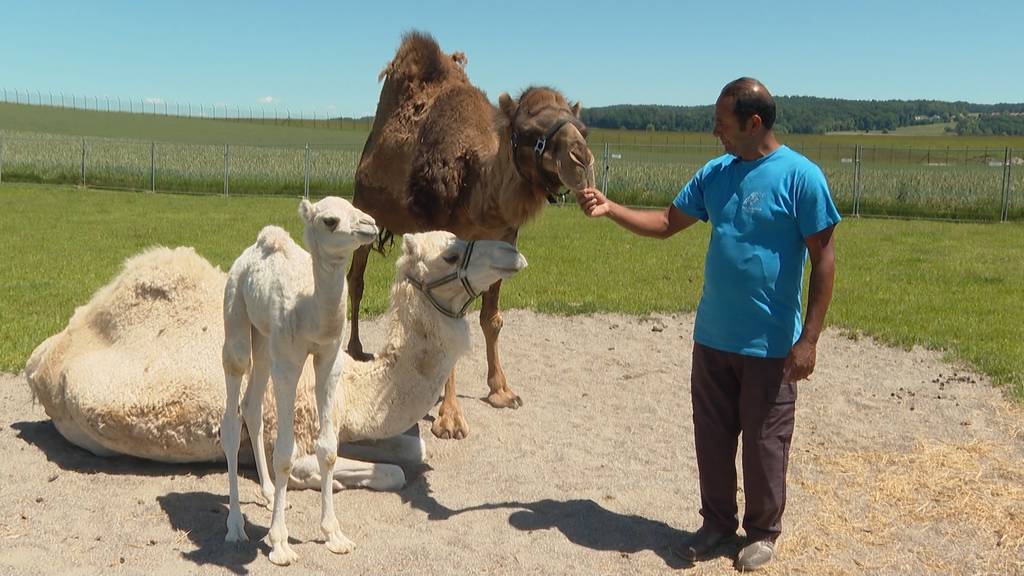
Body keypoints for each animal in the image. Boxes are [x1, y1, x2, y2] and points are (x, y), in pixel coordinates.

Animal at [24, 229, 528, 557]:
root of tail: (41, 358)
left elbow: (414, 450)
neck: (356, 391)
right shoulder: (301, 431)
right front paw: (314, 496)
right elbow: (386, 473)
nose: (513, 251)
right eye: (449, 255)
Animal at [348, 31, 598, 436]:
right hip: (364, 212)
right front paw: (449, 418)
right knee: (355, 280)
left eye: (583, 127)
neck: (480, 188)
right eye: (526, 132)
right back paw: (355, 348)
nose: (580, 159)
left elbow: (491, 318)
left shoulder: (504, 239)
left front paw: (502, 391)